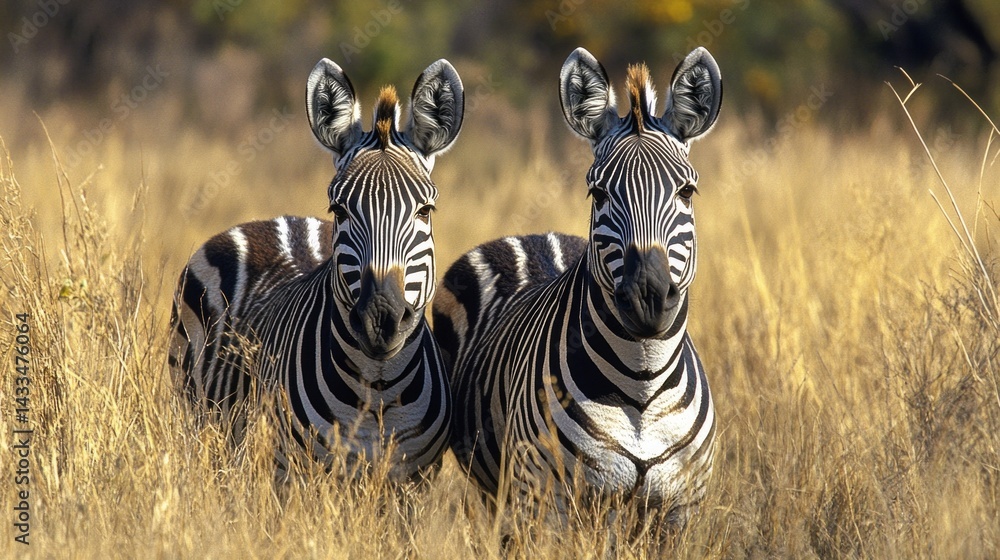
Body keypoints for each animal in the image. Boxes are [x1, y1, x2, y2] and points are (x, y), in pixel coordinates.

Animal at [169, 58, 464, 479]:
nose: (381, 319)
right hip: (199, 420)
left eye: (425, 211)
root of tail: (274, 220)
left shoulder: (412, 479)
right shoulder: (293, 471)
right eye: (339, 210)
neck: (378, 390)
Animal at [433, 47, 722, 520]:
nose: (648, 297)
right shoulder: (545, 500)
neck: (642, 388)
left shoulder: (682, 505)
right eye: (598, 195)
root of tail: (535, 235)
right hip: (499, 491)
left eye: (687, 192)